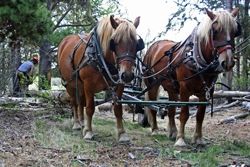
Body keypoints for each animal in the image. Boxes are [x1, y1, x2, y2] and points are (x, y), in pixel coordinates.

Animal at [142, 8, 241, 146]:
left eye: (234, 31)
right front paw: (180, 140)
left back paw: (172, 132)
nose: (228, 62)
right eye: (215, 31)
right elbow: (184, 114)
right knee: (152, 105)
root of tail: (153, 46)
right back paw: (155, 130)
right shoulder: (184, 89)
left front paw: (198, 139)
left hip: (172, 88)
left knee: (171, 110)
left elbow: (200, 115)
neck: (195, 59)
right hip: (152, 83)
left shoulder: (207, 91)